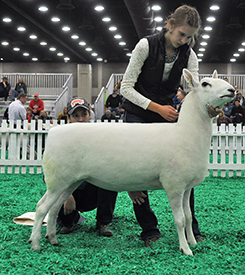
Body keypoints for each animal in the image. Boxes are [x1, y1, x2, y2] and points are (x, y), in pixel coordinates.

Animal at [29, 70, 235, 256]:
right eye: (205, 84)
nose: (232, 90)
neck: (185, 131)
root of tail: (52, 133)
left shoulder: (186, 187)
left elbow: (189, 216)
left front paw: (193, 242)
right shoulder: (174, 185)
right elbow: (181, 220)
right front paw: (185, 250)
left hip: (71, 181)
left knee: (55, 208)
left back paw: (53, 239)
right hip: (57, 179)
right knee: (41, 207)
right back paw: (35, 243)